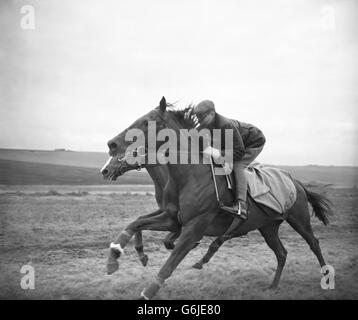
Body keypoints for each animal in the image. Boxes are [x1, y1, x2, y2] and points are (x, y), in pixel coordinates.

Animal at [100, 96, 332, 298]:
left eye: (148, 121)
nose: (111, 144)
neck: (188, 175)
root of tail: (296, 181)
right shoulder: (172, 218)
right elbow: (136, 223)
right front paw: (114, 257)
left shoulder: (193, 228)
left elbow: (167, 266)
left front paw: (145, 291)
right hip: (268, 226)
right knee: (281, 253)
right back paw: (273, 286)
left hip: (299, 219)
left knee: (314, 243)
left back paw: (326, 277)